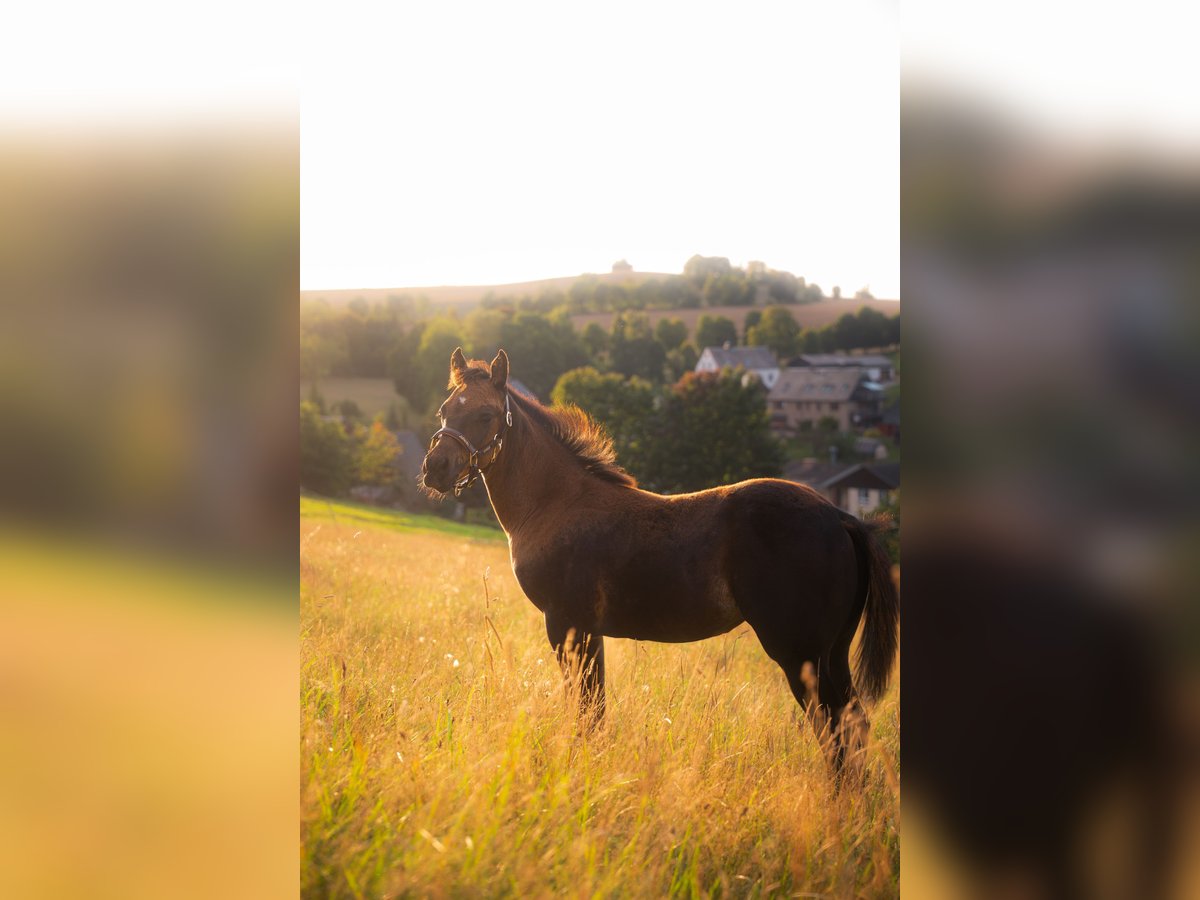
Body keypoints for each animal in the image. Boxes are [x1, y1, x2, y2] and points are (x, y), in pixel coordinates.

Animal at [420, 347, 899, 776]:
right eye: (445, 410)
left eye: (485, 415)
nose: (435, 468)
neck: (556, 503)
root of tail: (841, 517)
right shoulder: (589, 631)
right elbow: (594, 708)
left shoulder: (566, 624)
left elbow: (585, 707)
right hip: (832, 652)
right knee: (853, 725)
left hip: (800, 653)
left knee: (835, 730)